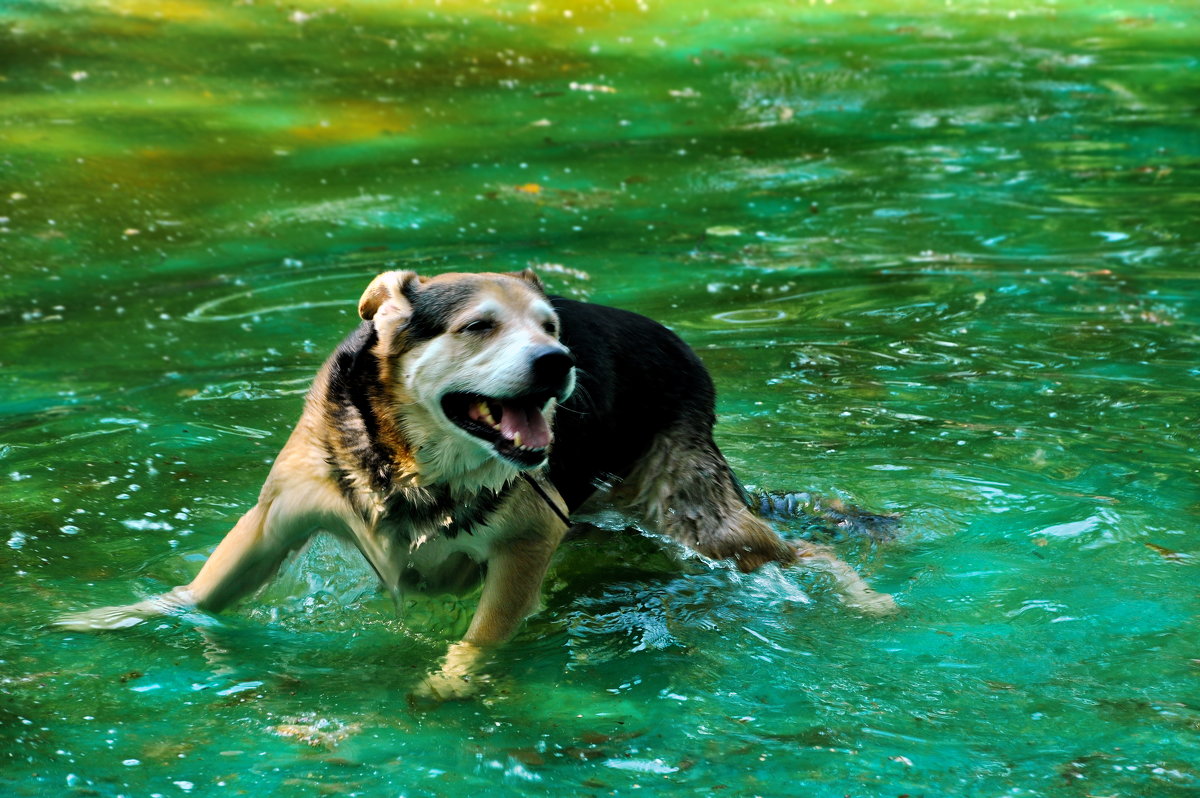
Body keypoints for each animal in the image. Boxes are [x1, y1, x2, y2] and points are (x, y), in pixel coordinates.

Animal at [60, 267, 897, 696]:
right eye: (478, 327)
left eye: (550, 328)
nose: (559, 364)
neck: (417, 459)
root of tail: (679, 345)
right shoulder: (278, 516)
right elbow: (202, 591)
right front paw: (121, 617)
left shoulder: (529, 540)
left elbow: (481, 637)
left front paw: (448, 682)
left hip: (692, 511)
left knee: (803, 552)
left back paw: (869, 599)